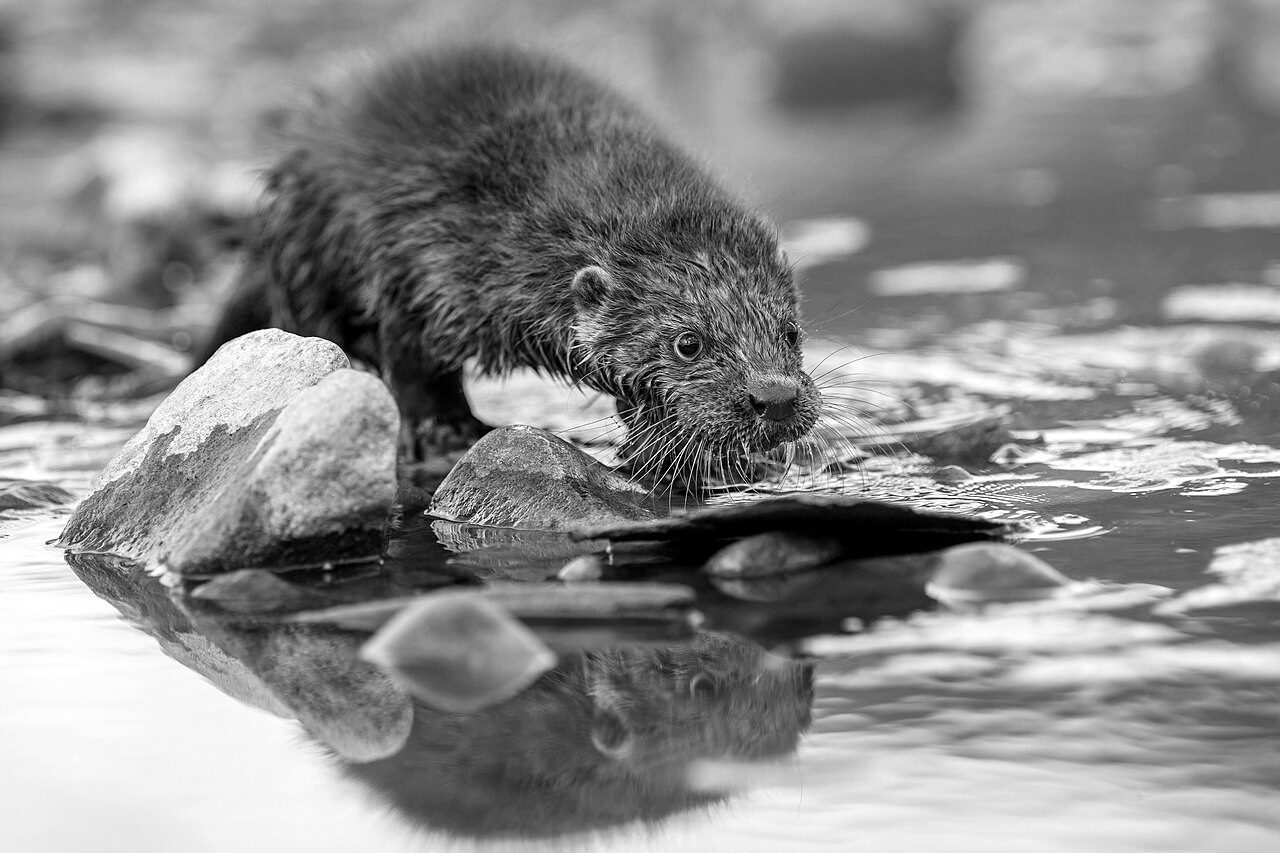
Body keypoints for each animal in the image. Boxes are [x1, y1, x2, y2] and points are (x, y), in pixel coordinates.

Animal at [202, 45, 822, 485]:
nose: (775, 398)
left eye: (792, 333)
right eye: (687, 344)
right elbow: (412, 355)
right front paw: (444, 430)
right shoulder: (421, 258)